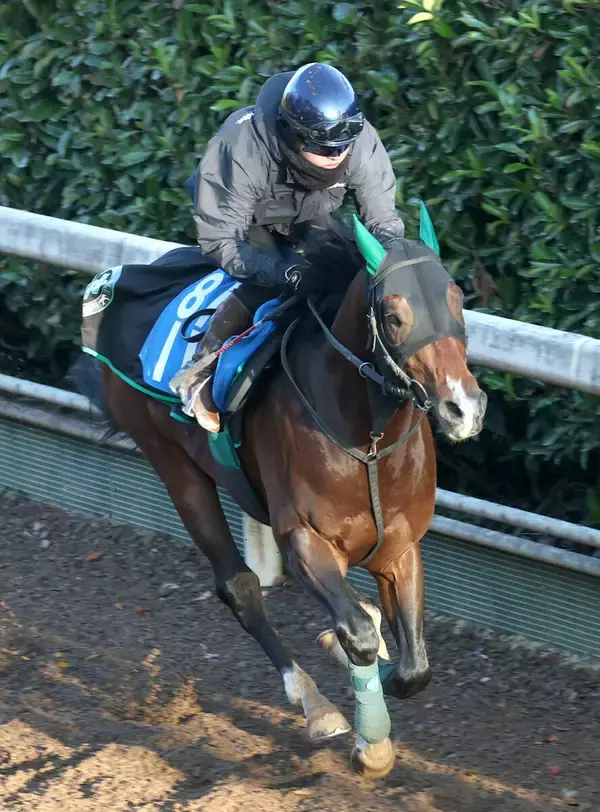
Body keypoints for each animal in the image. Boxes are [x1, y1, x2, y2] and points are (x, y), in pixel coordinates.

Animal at [74, 213, 487, 779]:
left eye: (456, 297)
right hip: (174, 466)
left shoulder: (400, 547)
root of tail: (112, 286)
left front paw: (366, 659)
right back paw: (316, 704)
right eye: (393, 315)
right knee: (239, 588)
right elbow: (357, 632)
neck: (367, 441)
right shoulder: (306, 539)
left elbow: (412, 665)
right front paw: (371, 742)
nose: (462, 408)